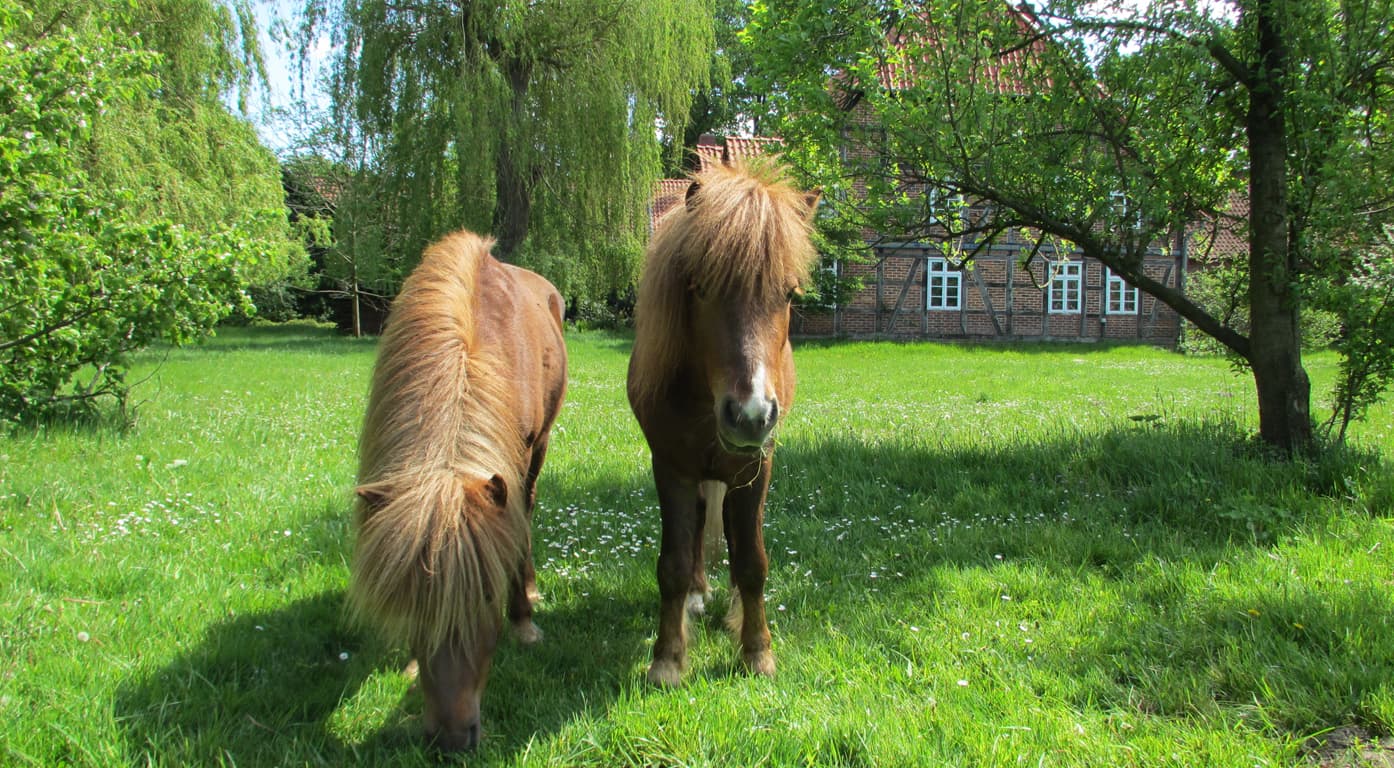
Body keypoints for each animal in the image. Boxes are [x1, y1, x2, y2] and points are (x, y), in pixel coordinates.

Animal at [354, 229, 565, 752]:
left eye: (486, 596)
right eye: (409, 601)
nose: (451, 737)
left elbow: (514, 530)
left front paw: (522, 622)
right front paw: (411, 665)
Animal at [630, 159, 819, 688]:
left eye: (789, 293)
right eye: (701, 287)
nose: (751, 415)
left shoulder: (755, 470)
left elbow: (752, 559)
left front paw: (757, 650)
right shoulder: (671, 468)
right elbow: (673, 563)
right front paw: (668, 659)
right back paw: (697, 596)